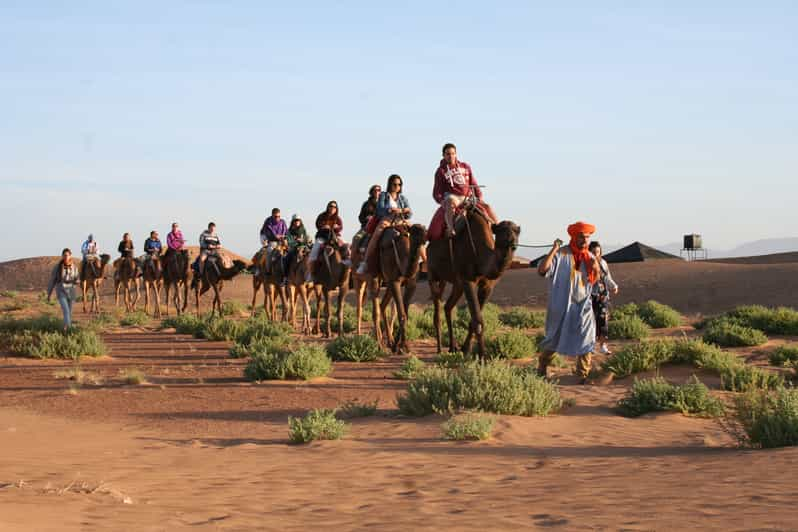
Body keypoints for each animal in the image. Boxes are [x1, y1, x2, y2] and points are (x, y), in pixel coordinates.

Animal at [376, 223, 432, 354]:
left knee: (382, 305)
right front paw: (403, 347)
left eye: (424, 230)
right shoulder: (395, 281)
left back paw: (390, 342)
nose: (425, 238)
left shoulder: (411, 283)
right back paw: (379, 344)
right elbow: (401, 314)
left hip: (388, 284)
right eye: (414, 231)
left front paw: (399, 345)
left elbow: (405, 313)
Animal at [428, 203, 520, 358]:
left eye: (516, 232)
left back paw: (452, 347)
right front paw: (482, 356)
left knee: (448, 306)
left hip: (456, 283)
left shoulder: (487, 286)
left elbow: (474, 319)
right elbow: (477, 319)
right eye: (501, 231)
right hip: (432, 273)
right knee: (437, 307)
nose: (511, 242)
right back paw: (440, 349)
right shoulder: (468, 280)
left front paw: (466, 349)